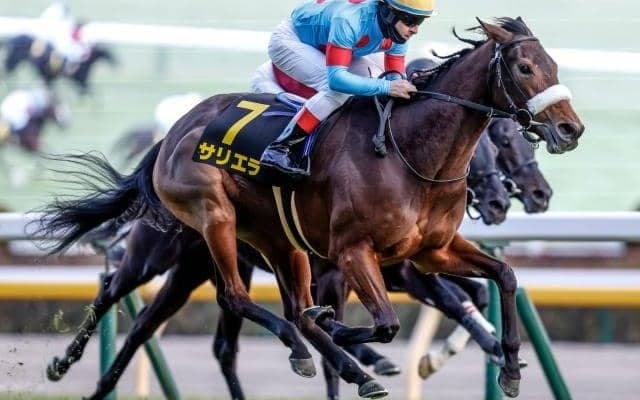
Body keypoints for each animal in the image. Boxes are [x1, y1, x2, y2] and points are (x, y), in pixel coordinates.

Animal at [38, 17, 584, 398]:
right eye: (524, 68)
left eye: (554, 66)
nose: (570, 129)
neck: (410, 153)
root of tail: (172, 133)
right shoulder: (357, 258)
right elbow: (388, 322)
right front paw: (357, 346)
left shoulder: (431, 253)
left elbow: (499, 279)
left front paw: (507, 363)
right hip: (196, 230)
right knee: (140, 291)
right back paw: (63, 363)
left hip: (242, 254)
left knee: (174, 327)